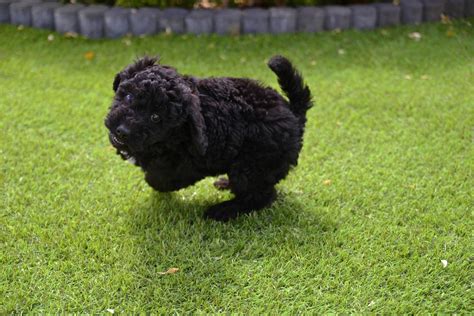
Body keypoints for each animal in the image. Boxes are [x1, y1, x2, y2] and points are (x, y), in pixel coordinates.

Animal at [104, 55, 312, 221]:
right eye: (129, 97)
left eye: (156, 117)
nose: (122, 131)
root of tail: (294, 113)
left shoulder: (189, 165)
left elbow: (159, 179)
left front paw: (154, 179)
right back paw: (225, 184)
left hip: (251, 166)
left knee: (260, 196)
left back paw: (224, 210)